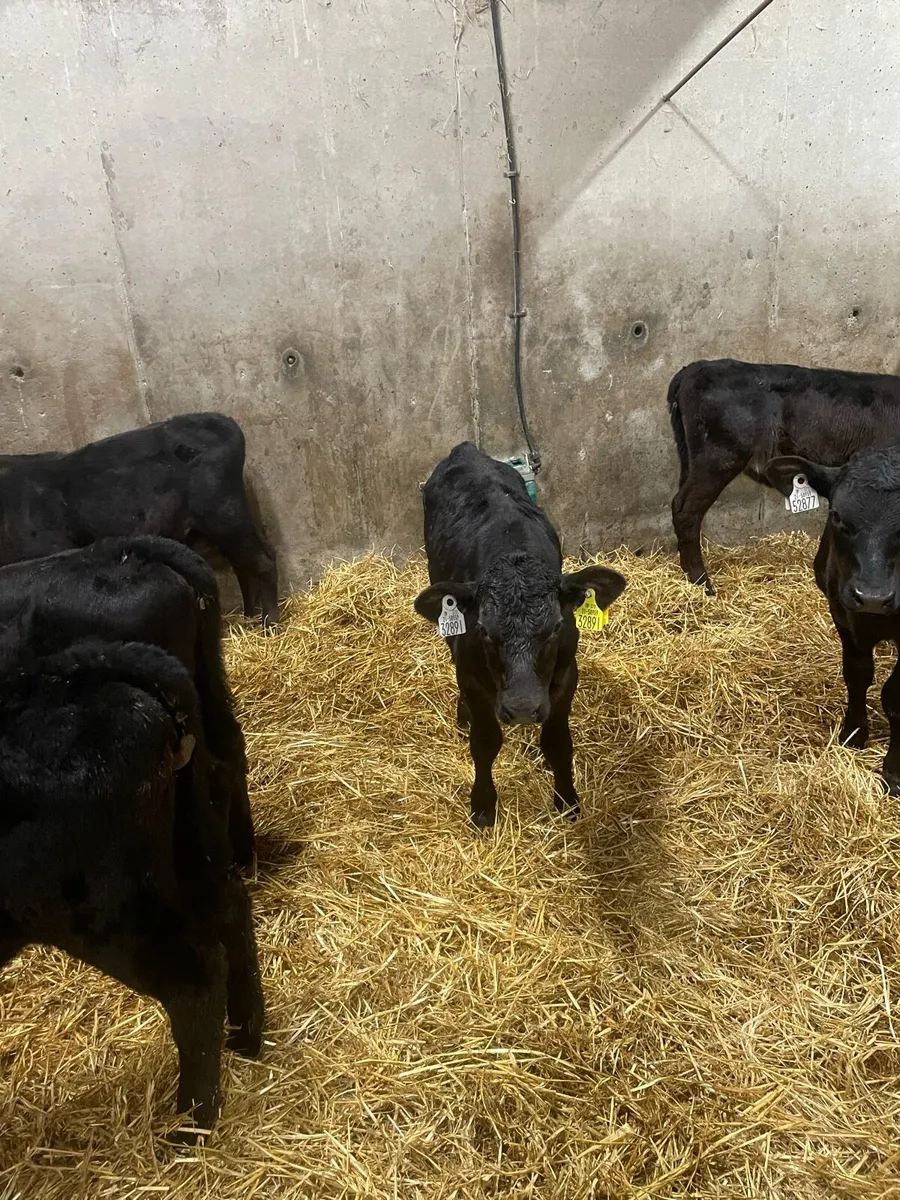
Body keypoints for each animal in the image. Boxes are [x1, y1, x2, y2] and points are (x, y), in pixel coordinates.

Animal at [0, 412, 279, 628]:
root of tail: (223, 420)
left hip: (224, 513)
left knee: (262, 561)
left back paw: (270, 626)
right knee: (244, 563)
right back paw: (250, 619)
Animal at [0, 627, 264, 1138]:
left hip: (104, 912)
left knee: (195, 979)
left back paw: (190, 1123)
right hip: (192, 849)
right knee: (232, 912)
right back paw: (247, 1038)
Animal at [413, 442, 626, 828]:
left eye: (556, 626)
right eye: (483, 629)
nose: (524, 708)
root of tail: (467, 449)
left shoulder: (566, 674)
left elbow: (557, 741)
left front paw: (567, 800)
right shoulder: (472, 676)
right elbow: (485, 743)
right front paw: (483, 806)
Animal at [767, 446, 900, 795]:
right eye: (837, 516)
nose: (872, 596)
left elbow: (894, 696)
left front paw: (894, 771)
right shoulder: (843, 615)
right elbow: (856, 675)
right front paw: (853, 734)